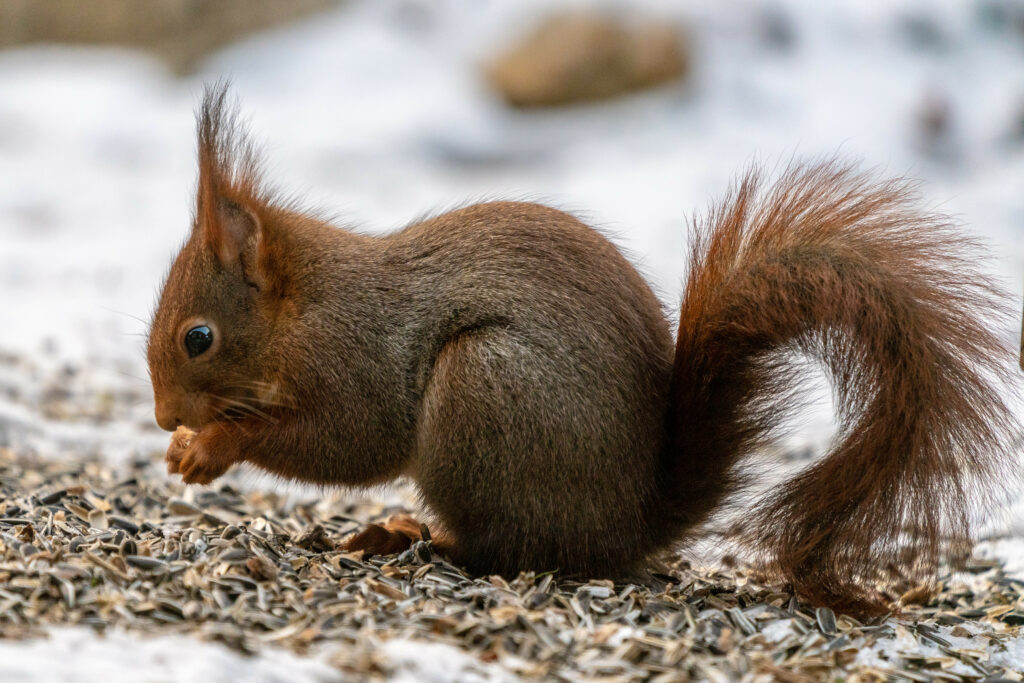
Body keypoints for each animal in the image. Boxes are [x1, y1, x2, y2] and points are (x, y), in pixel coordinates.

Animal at [147, 84, 1021, 616]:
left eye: (199, 337)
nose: (160, 417)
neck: (304, 305)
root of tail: (628, 521)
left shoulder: (354, 356)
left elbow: (347, 441)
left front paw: (213, 444)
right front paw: (189, 446)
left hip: (482, 389)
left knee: (508, 550)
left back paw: (412, 538)